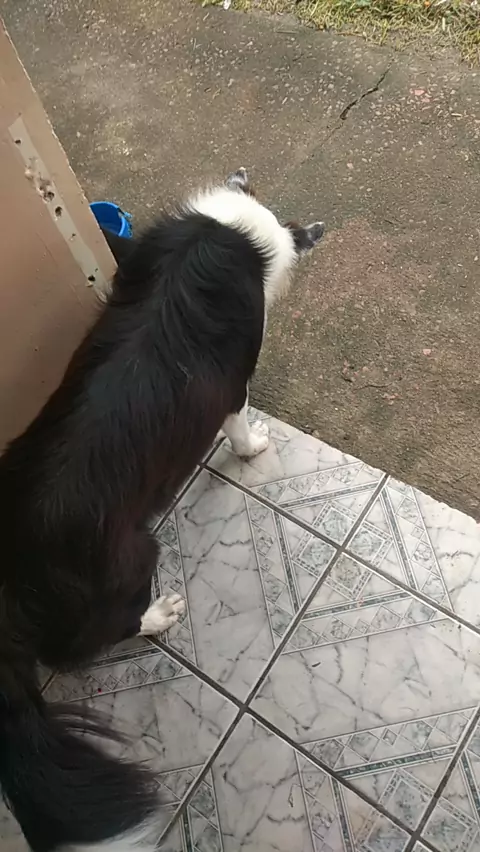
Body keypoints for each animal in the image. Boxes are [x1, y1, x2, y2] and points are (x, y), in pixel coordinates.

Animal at [0, 169, 324, 852]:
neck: (226, 228)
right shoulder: (235, 384)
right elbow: (239, 426)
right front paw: (255, 448)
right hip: (132, 556)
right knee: (87, 643)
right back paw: (159, 614)